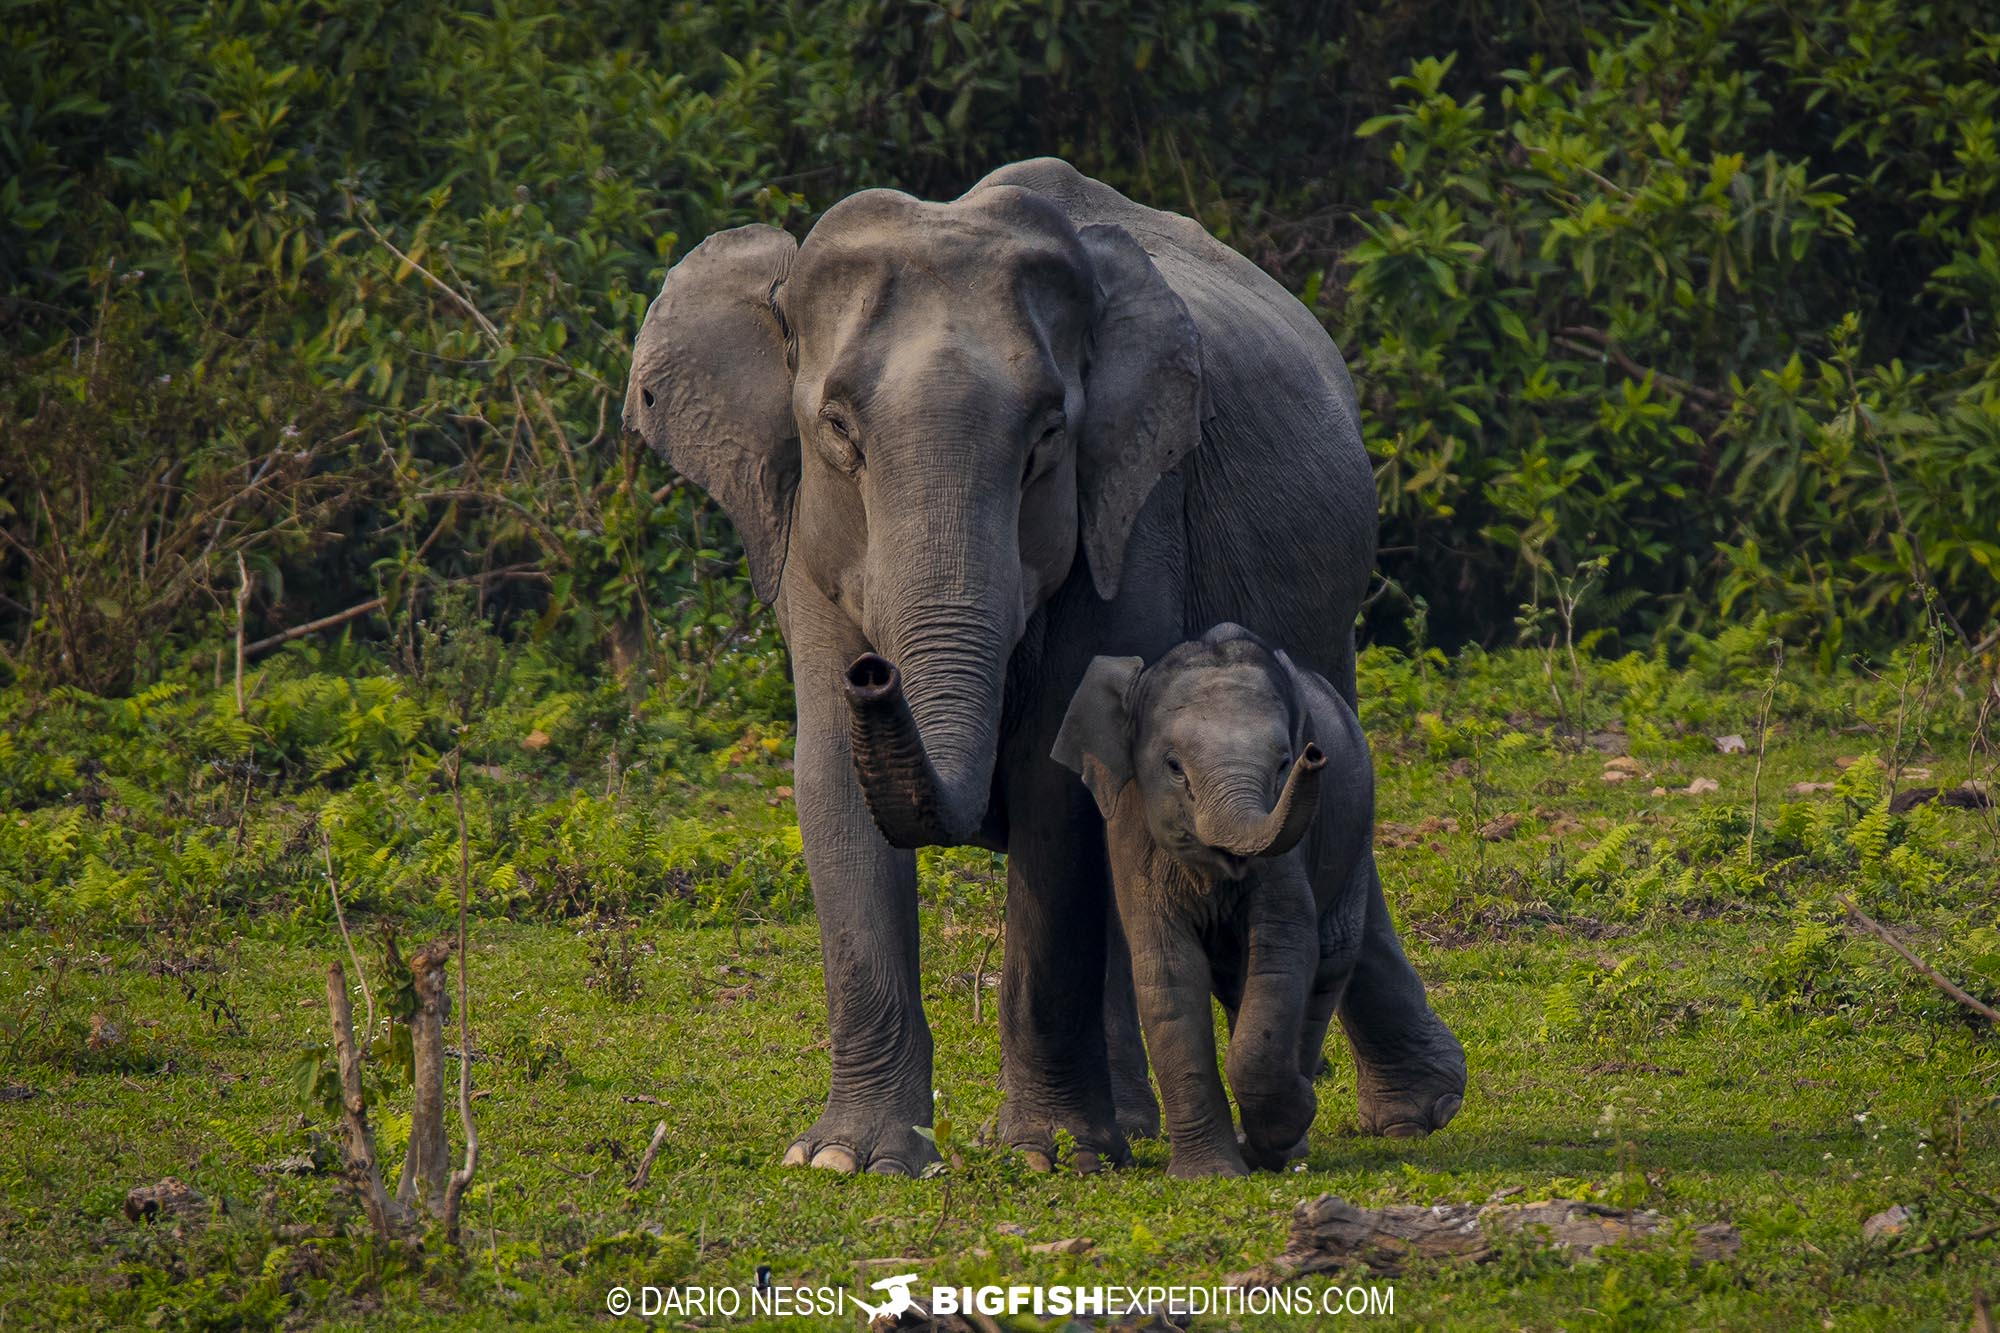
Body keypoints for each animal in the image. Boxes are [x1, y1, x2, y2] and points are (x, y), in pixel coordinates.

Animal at [1056, 624, 1464, 1176]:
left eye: (1284, 763)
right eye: (1173, 767)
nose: (1315, 756)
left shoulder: (1289, 851)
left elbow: (1282, 953)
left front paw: (1288, 1119)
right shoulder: (1131, 832)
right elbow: (1168, 972)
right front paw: (1207, 1176)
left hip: (1354, 831)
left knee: (1325, 967)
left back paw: (1287, 1138)